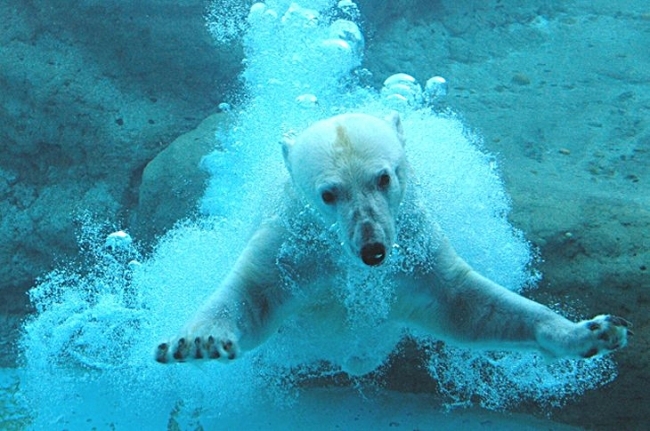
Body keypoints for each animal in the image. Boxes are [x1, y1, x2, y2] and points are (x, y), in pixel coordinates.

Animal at [154, 113, 632, 372]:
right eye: (328, 193)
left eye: (384, 177)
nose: (373, 250)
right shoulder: (292, 245)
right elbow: (253, 295)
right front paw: (199, 342)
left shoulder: (417, 250)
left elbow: (467, 305)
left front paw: (592, 331)